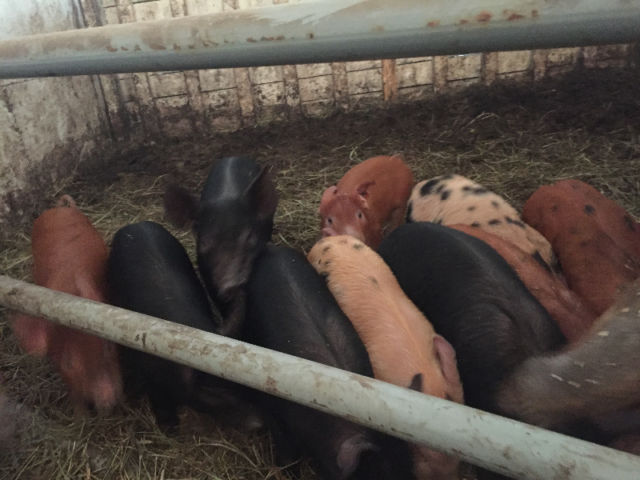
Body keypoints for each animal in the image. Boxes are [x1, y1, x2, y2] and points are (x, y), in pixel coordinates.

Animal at [108, 221, 257, 428]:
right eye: (215, 392)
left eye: (249, 387)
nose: (259, 423)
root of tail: (136, 224)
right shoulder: (149, 374)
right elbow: (158, 399)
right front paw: (170, 427)